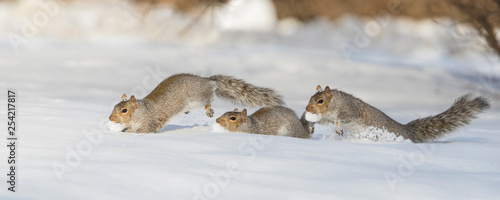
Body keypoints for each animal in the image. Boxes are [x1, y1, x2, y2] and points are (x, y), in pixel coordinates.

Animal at [108, 73, 286, 133]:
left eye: (124, 110)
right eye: (114, 107)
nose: (110, 118)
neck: (140, 112)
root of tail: (206, 80)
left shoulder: (149, 123)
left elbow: (144, 131)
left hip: (198, 97)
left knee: (210, 98)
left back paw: (208, 109)